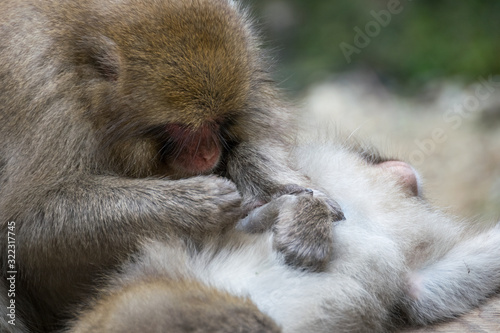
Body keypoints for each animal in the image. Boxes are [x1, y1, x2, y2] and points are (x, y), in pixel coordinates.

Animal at [0, 0, 342, 330]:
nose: (208, 153)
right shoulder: (44, 93)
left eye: (217, 121)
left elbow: (254, 139)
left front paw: (294, 199)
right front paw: (203, 204)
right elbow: (29, 223)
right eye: (181, 128)